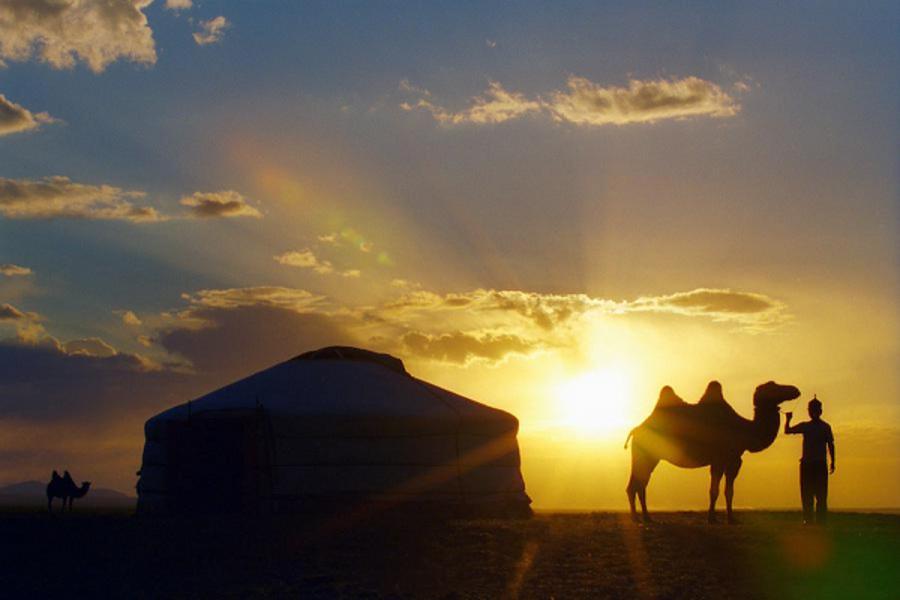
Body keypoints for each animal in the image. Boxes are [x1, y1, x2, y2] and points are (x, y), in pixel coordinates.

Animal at [624, 382, 800, 524]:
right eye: (773, 386)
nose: (795, 389)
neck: (744, 430)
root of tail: (636, 429)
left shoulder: (734, 460)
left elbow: (729, 491)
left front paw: (731, 519)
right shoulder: (719, 459)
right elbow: (714, 490)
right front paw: (712, 519)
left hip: (650, 457)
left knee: (640, 484)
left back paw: (644, 517)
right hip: (645, 456)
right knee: (636, 485)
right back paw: (639, 518)